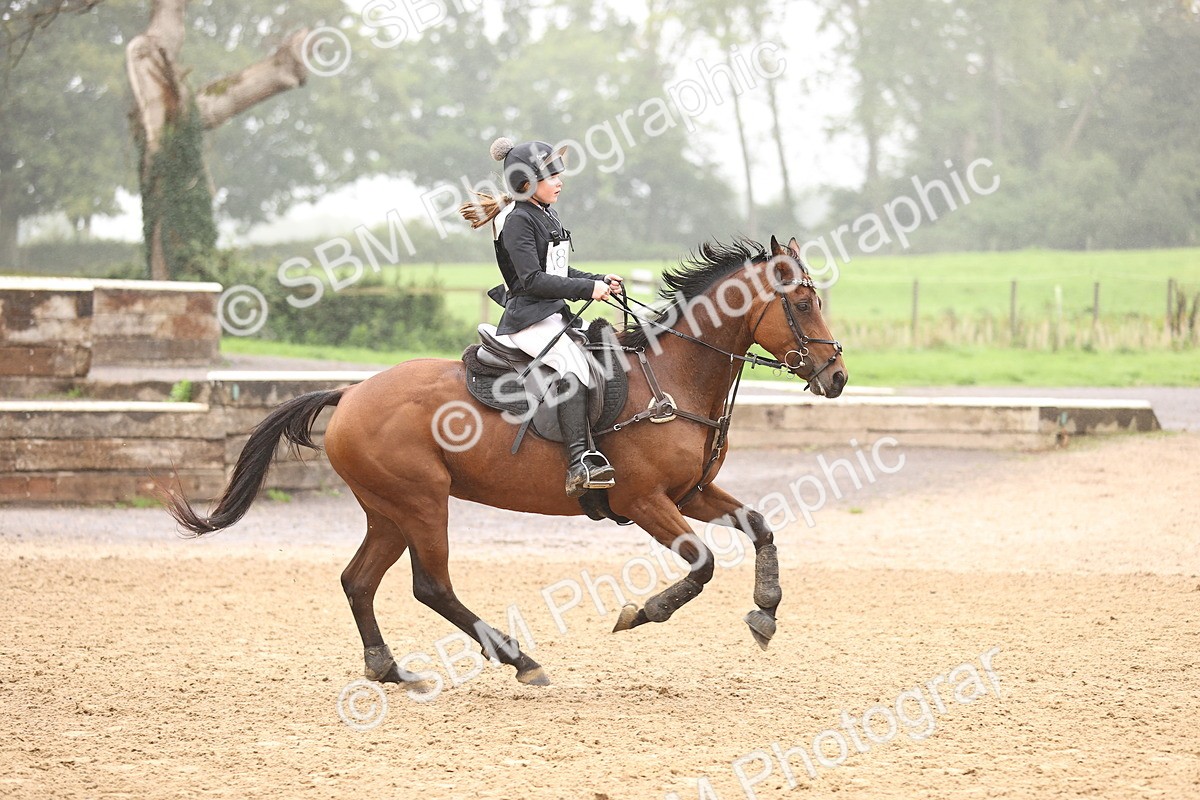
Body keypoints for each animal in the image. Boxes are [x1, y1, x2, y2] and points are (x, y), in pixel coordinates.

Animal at [164, 236, 847, 688]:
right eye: (802, 302)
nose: (838, 377)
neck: (674, 375)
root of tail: (351, 392)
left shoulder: (691, 494)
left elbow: (761, 526)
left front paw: (765, 611)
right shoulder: (644, 502)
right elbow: (702, 564)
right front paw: (639, 614)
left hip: (388, 510)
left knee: (358, 581)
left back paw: (390, 670)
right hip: (421, 502)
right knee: (430, 585)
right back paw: (519, 659)